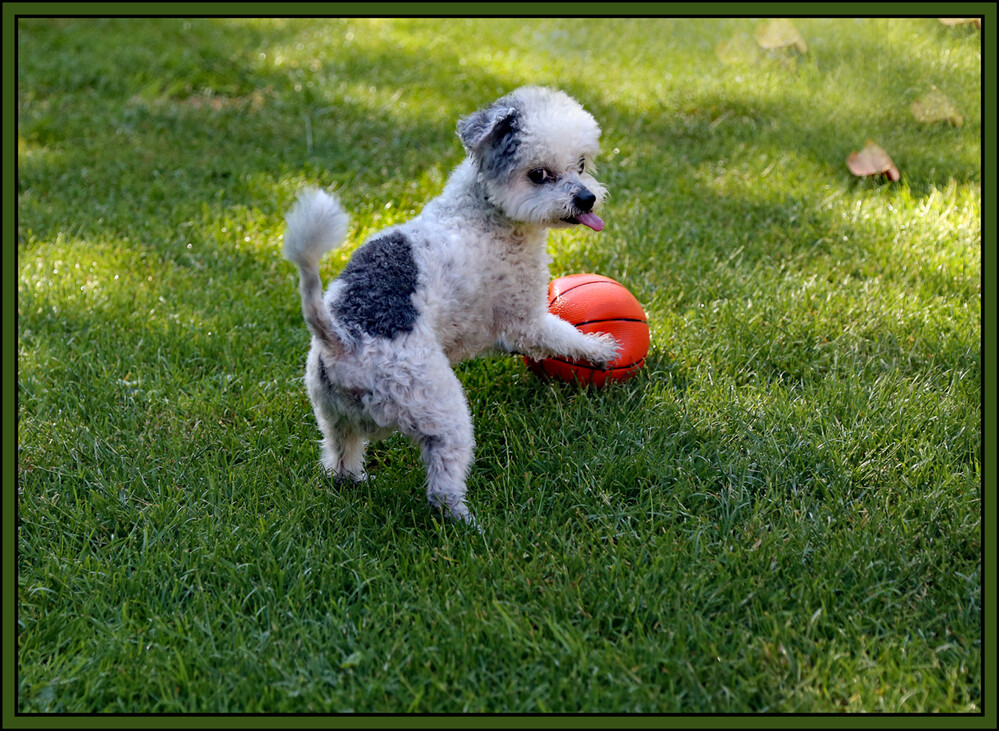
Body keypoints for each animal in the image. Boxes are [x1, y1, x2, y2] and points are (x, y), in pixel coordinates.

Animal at [284, 87, 616, 528]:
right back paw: (468, 522)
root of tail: (342, 337)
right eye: (538, 174)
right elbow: (564, 336)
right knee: (442, 483)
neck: (484, 209)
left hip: (333, 416)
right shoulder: (525, 317)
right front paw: (602, 350)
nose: (586, 198)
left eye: (581, 164)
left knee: (339, 458)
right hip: (439, 407)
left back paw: (353, 481)